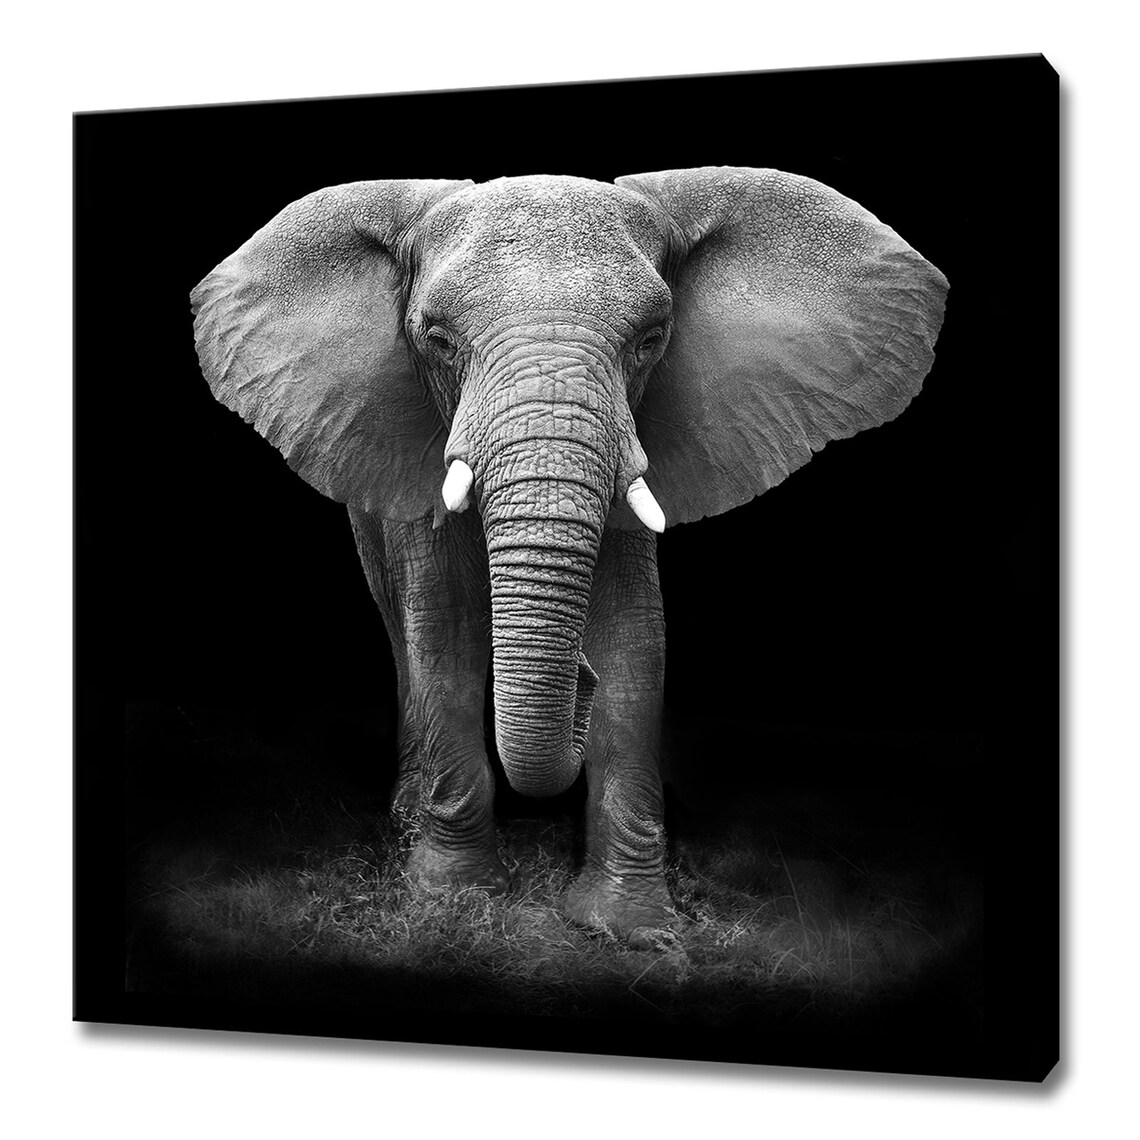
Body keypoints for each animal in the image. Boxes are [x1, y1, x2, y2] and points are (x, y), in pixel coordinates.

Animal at [191, 167, 947, 945]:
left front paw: (632, 927)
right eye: (437, 339)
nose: (578, 680)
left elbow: (634, 637)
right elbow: (445, 632)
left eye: (651, 339)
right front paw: (452, 900)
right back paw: (405, 818)